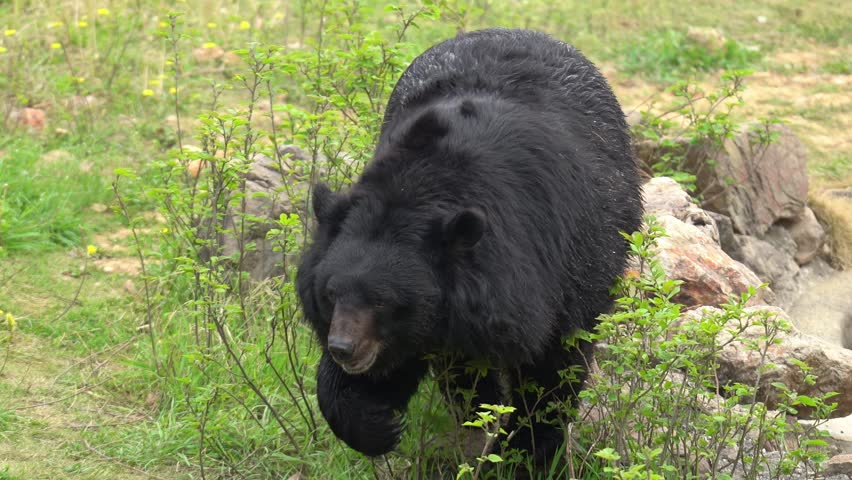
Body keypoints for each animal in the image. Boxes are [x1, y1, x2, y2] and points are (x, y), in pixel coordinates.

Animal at [296, 28, 644, 465]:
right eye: (330, 294)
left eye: (383, 301)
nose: (343, 348)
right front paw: (375, 424)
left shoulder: (555, 263)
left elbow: (553, 366)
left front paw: (524, 454)